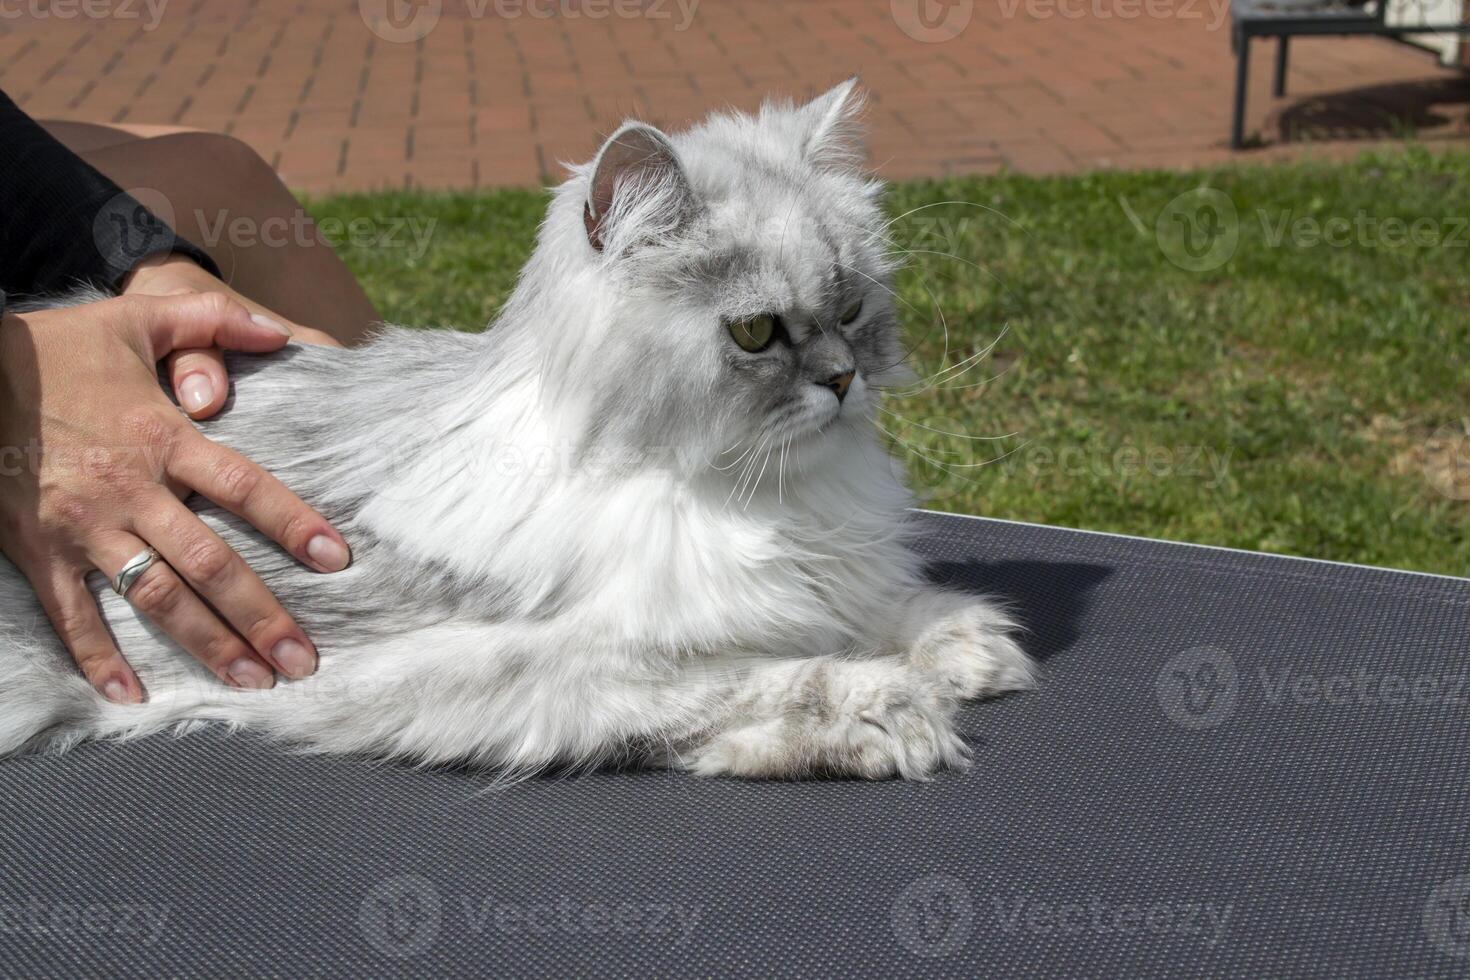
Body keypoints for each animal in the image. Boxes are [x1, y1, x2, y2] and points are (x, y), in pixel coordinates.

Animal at [0, 80, 1034, 775]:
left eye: (852, 309)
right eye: (755, 333)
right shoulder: (526, 674)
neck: (742, 489)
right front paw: (895, 707)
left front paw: (969, 648)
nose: (842, 382)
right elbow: (757, 678)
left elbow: (877, 608)